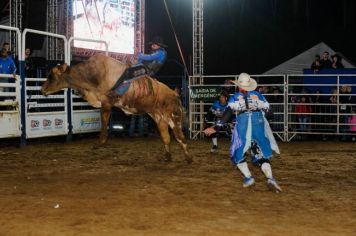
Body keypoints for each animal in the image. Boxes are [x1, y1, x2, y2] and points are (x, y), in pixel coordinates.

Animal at [41, 54, 191, 163]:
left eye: (51, 75)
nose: (42, 89)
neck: (91, 75)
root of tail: (174, 93)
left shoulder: (106, 102)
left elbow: (104, 121)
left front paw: (100, 142)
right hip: (158, 117)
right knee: (166, 137)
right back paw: (168, 157)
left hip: (173, 116)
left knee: (180, 137)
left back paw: (188, 158)